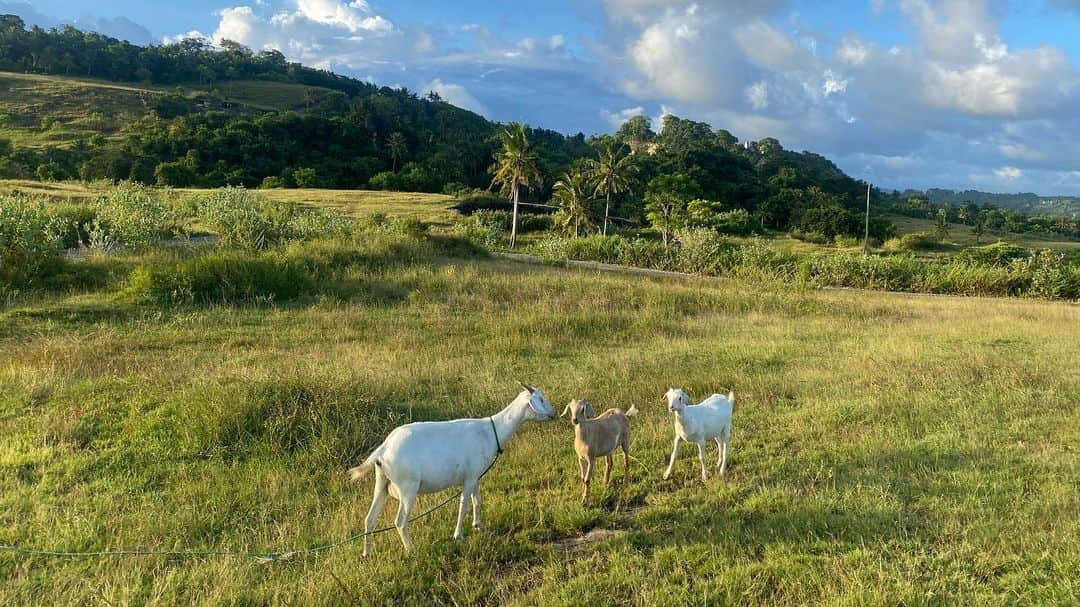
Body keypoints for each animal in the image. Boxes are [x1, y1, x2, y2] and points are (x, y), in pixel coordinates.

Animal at [347, 380, 552, 557]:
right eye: (541, 399)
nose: (554, 412)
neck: (490, 431)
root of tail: (384, 449)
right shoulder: (470, 477)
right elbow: (464, 504)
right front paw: (458, 535)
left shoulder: (475, 475)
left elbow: (477, 500)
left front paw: (478, 525)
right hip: (407, 487)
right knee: (400, 521)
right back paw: (412, 550)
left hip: (381, 482)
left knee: (370, 519)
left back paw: (366, 553)